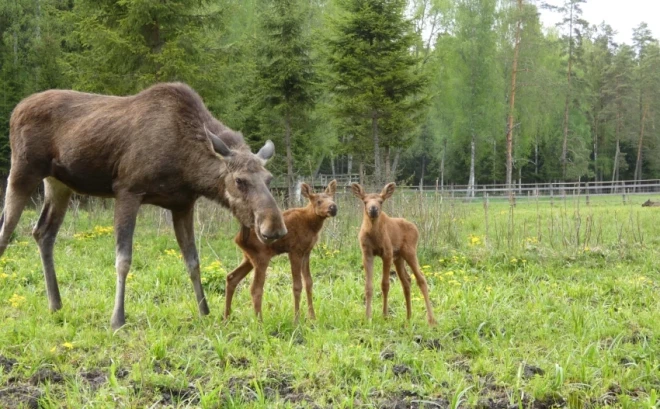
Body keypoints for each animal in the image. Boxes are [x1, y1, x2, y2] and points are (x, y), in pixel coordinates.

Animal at [0, 82, 286, 328]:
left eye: (269, 178)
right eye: (239, 180)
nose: (274, 227)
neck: (189, 168)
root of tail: (16, 110)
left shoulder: (182, 205)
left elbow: (193, 261)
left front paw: (204, 311)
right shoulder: (128, 190)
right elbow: (123, 259)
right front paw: (117, 319)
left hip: (58, 183)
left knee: (43, 233)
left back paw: (56, 304)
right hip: (23, 170)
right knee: (6, 230)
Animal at [227, 180, 340, 320]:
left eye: (332, 198)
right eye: (318, 201)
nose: (333, 207)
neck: (312, 225)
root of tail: (238, 239)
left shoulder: (306, 251)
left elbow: (309, 282)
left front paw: (312, 317)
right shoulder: (295, 251)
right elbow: (297, 286)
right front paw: (296, 319)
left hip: (248, 258)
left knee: (231, 277)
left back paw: (226, 318)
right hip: (261, 257)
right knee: (255, 289)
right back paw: (259, 321)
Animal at [350, 182, 438, 326]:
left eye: (381, 201)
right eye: (365, 201)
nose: (373, 209)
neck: (374, 235)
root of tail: (416, 229)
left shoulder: (387, 253)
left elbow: (385, 284)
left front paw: (384, 315)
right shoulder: (367, 253)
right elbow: (368, 286)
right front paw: (368, 317)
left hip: (410, 251)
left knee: (421, 279)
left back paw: (431, 320)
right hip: (399, 257)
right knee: (406, 280)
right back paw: (408, 316)